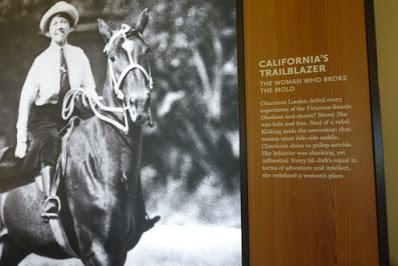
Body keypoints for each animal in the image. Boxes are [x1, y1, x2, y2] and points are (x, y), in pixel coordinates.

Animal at [0, 8, 154, 266]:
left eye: (146, 51)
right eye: (112, 57)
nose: (139, 104)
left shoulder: (119, 251)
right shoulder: (96, 250)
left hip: (12, 245)